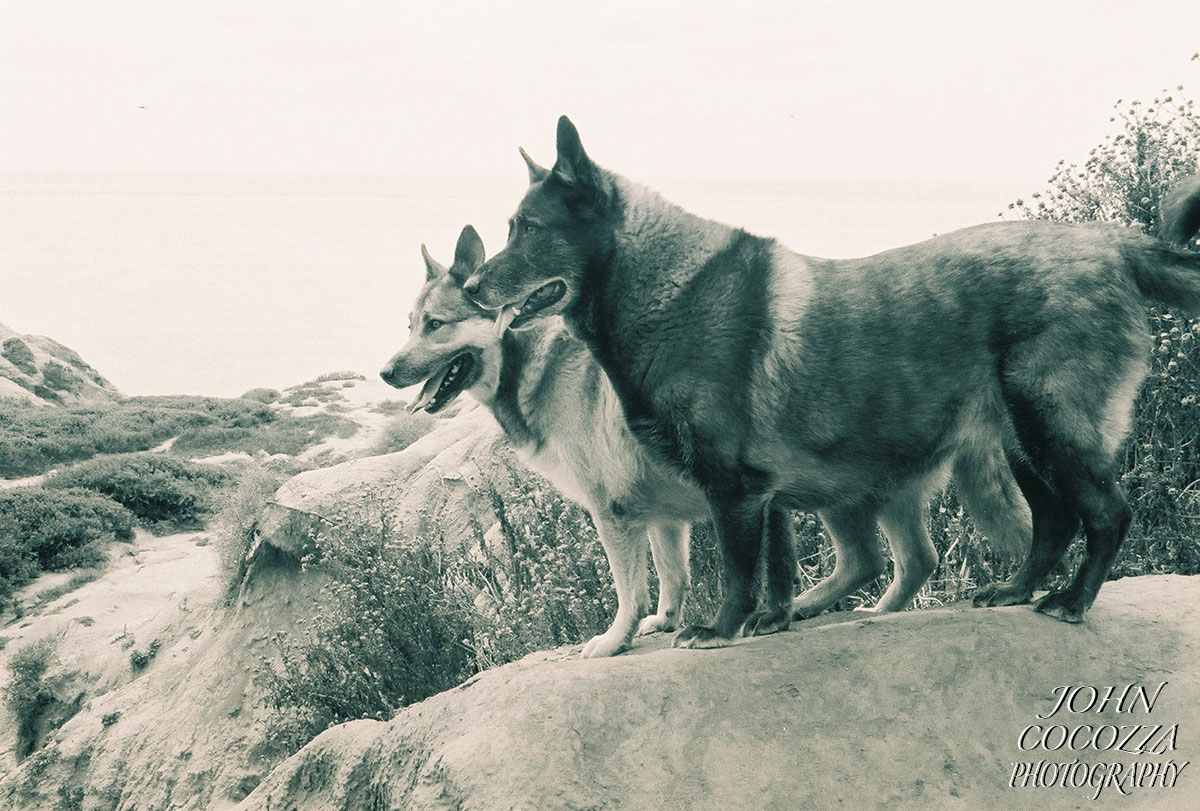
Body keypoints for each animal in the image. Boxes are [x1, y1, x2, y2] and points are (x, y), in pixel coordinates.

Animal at [381, 224, 1032, 657]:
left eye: (435, 325)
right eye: (408, 325)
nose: (386, 371)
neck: (531, 360)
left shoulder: (616, 515)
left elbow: (628, 590)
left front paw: (613, 640)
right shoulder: (667, 518)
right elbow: (672, 579)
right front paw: (669, 622)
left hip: (834, 490)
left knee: (885, 558)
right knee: (904, 560)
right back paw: (838, 610)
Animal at [465, 115, 1200, 647]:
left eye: (529, 229)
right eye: (510, 229)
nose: (471, 286)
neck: (666, 290)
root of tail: (1109, 242)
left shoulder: (733, 492)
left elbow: (739, 571)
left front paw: (720, 629)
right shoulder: (762, 496)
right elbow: (777, 572)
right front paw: (770, 621)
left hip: (1054, 431)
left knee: (1106, 514)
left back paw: (1072, 601)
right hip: (1022, 443)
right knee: (1052, 520)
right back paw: (1016, 591)